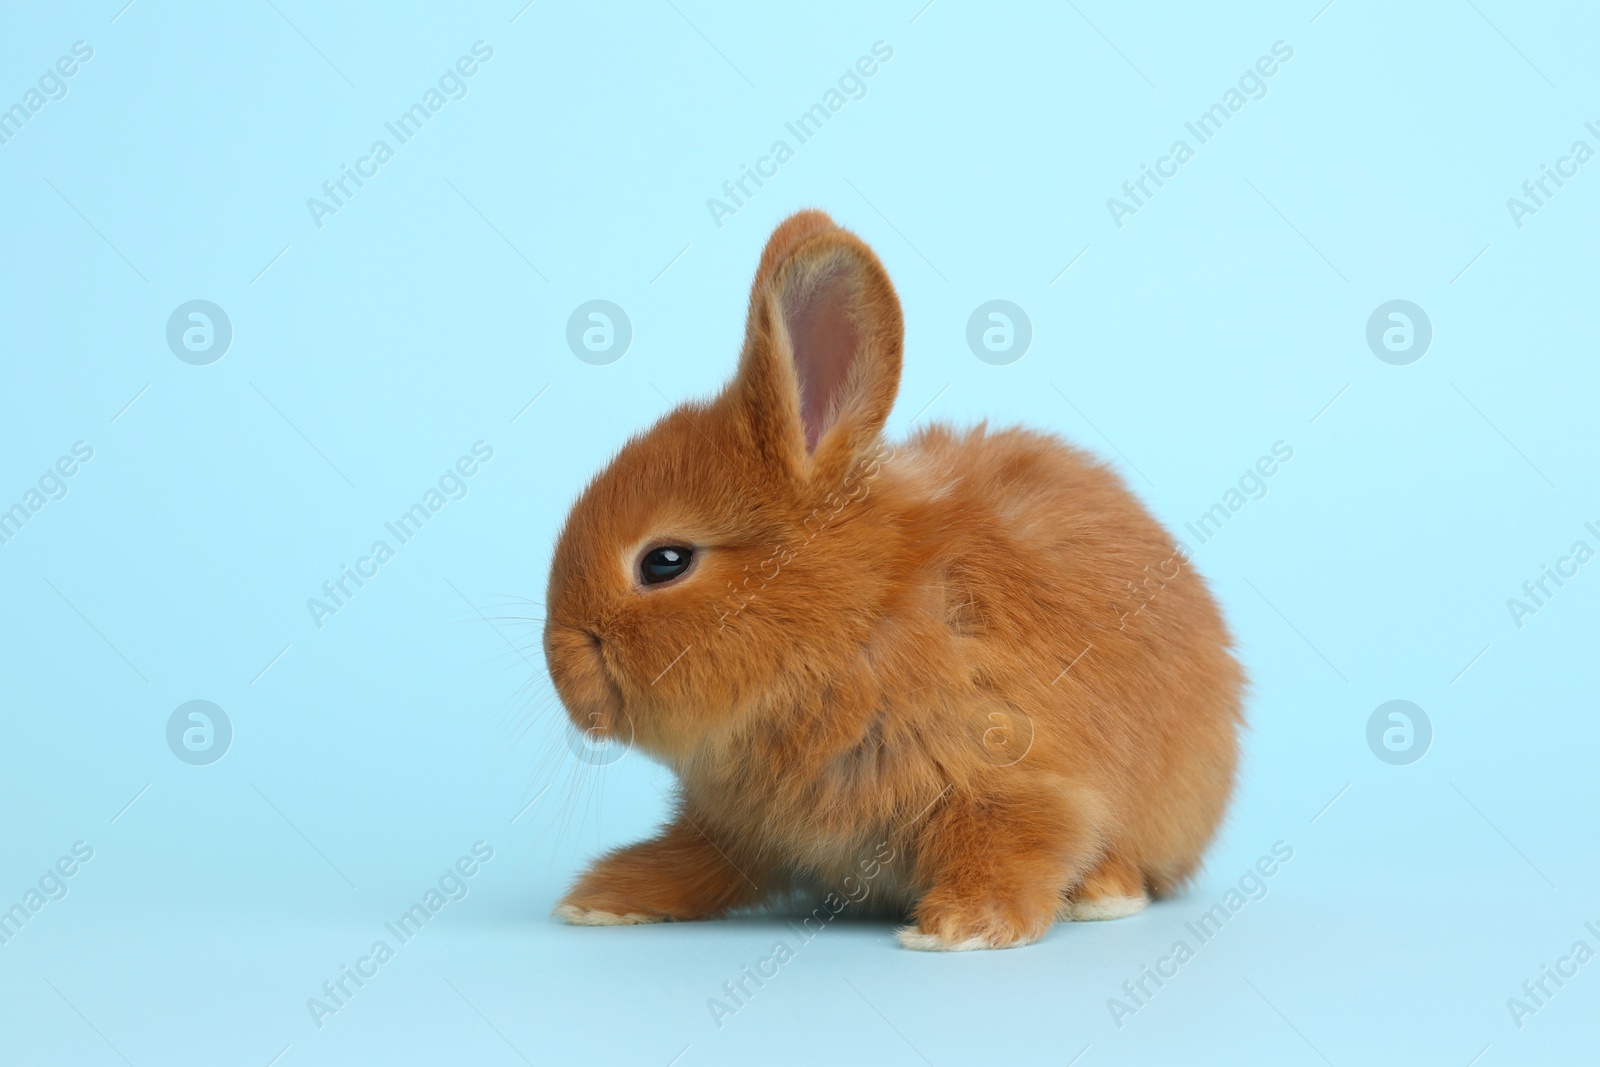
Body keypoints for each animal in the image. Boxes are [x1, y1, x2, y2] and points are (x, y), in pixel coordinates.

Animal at [544, 207, 1241, 953]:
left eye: (664, 562)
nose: (563, 668)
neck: (855, 621)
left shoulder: (1010, 775)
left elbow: (1019, 843)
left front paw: (960, 927)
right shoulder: (732, 828)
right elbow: (695, 861)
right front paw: (606, 898)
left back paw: (1103, 895)